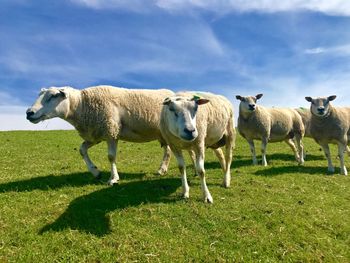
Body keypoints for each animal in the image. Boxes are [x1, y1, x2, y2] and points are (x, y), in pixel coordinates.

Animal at [26, 85, 175, 185]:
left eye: (52, 96)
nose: (29, 113)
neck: (81, 105)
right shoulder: (95, 133)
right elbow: (82, 149)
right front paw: (95, 172)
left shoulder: (111, 131)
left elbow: (111, 157)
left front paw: (113, 178)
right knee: (168, 150)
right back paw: (163, 169)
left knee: (168, 151)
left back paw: (161, 170)